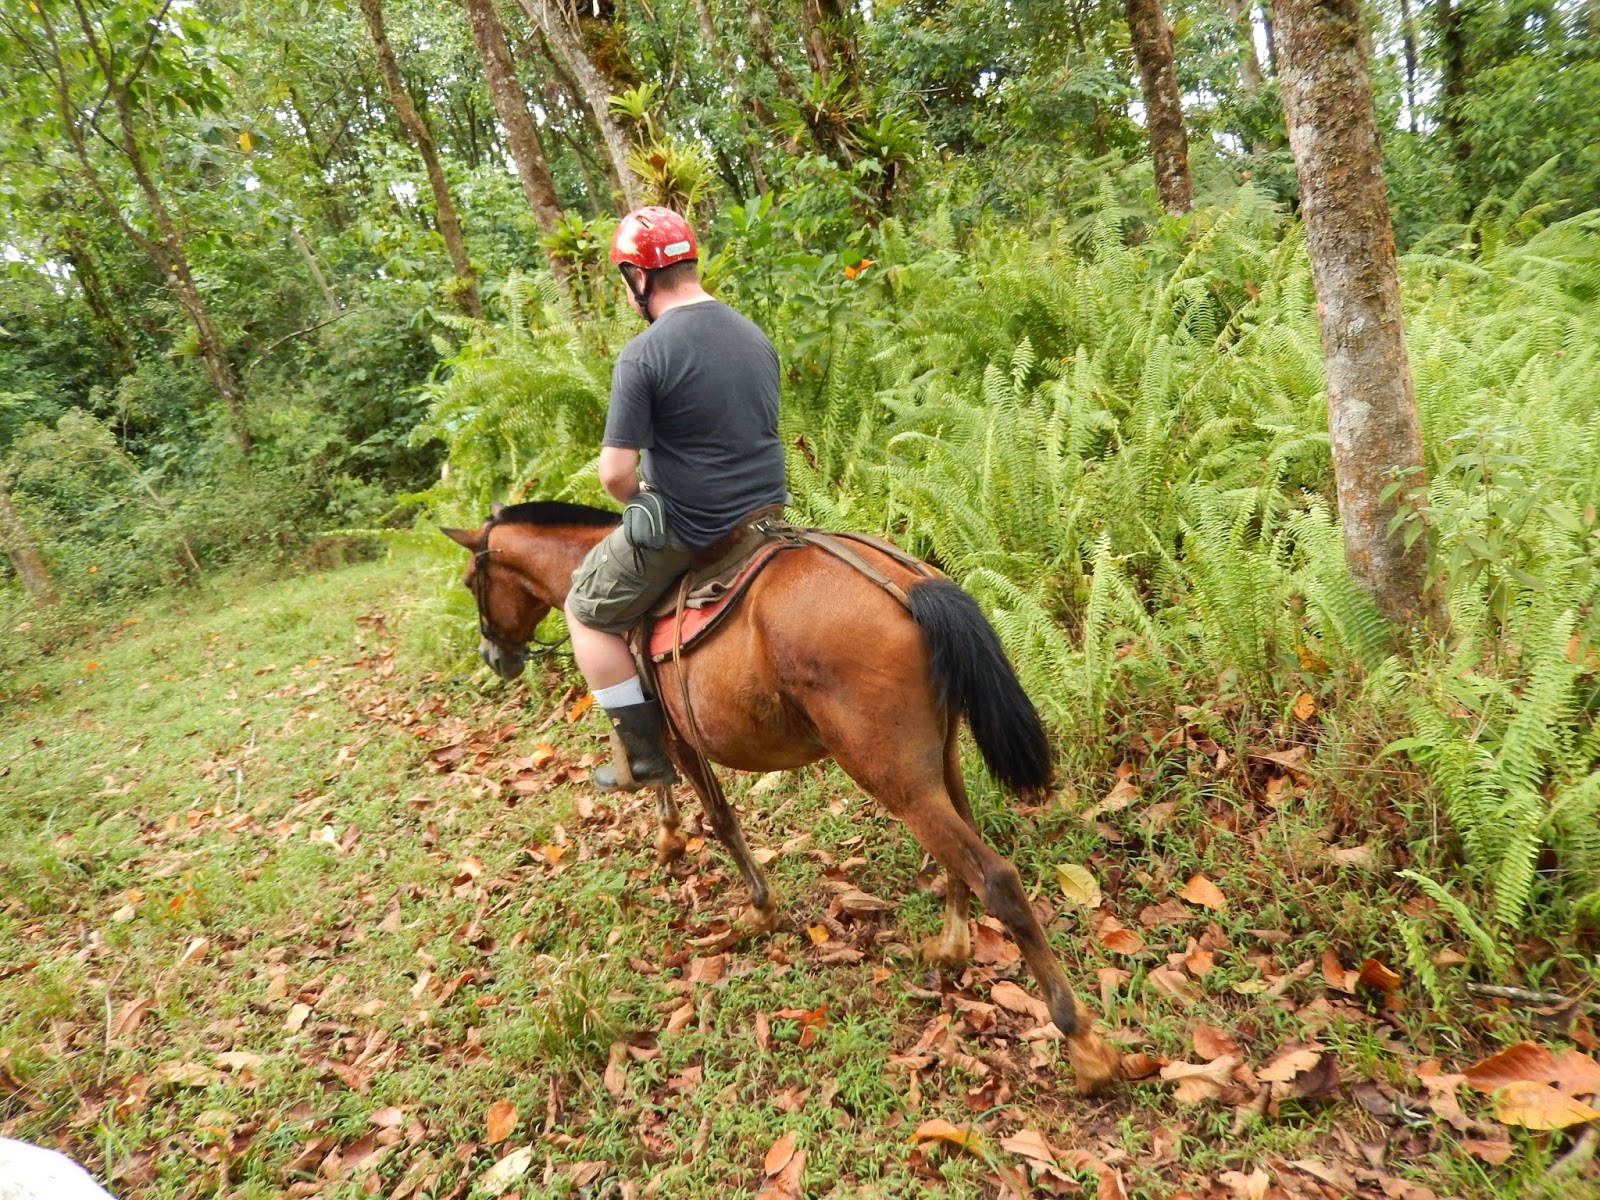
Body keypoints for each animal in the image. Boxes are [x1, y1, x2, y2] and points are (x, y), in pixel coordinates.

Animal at [441, 501, 1120, 1094]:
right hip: (939, 759)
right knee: (965, 852)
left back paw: (1082, 1044)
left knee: (997, 878)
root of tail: (909, 585)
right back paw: (952, 947)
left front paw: (758, 910)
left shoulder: (676, 738)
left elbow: (714, 813)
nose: (493, 656)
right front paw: (669, 839)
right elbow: (662, 785)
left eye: (474, 580)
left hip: (891, 773)